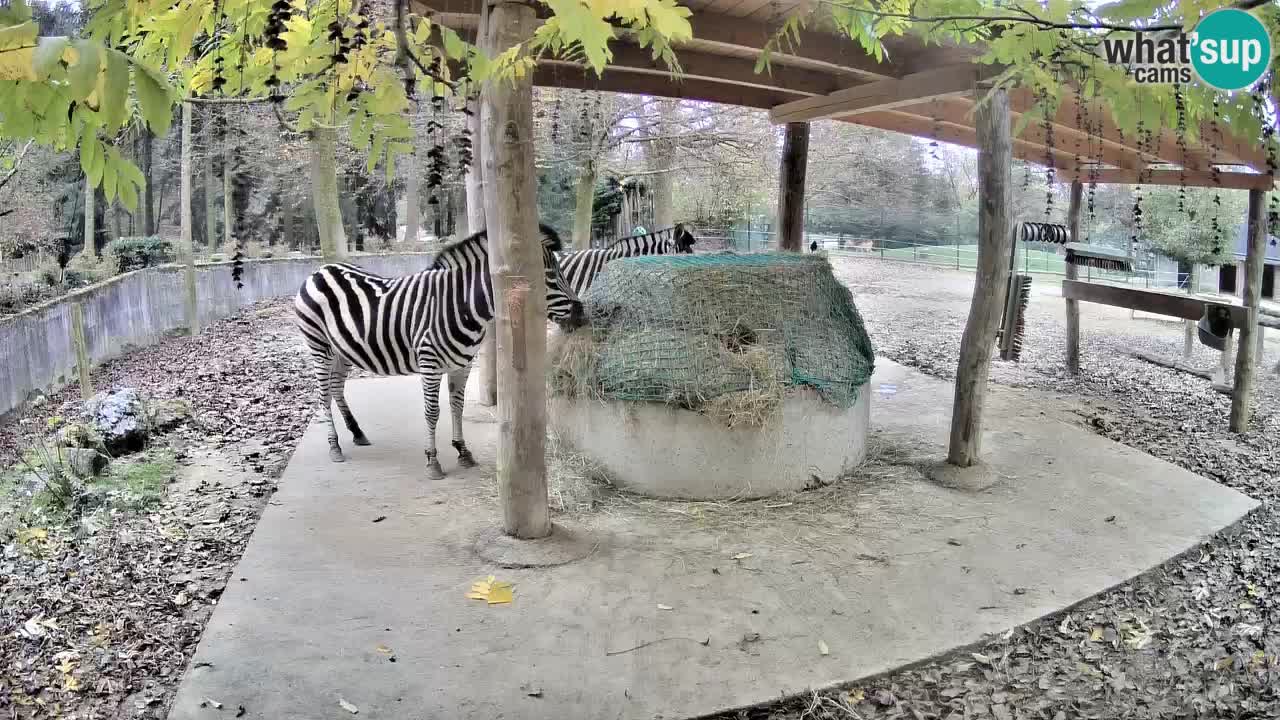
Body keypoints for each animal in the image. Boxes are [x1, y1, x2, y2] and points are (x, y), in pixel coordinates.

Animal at [293, 222, 583, 476]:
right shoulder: (429, 362)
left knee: (336, 388)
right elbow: (432, 412)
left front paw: (462, 450)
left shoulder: (462, 365)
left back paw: (357, 432)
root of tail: (319, 270)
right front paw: (432, 460)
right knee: (323, 395)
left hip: (343, 351)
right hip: (319, 345)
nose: (582, 313)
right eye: (548, 276)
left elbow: (457, 407)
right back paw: (334, 446)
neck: (462, 305)